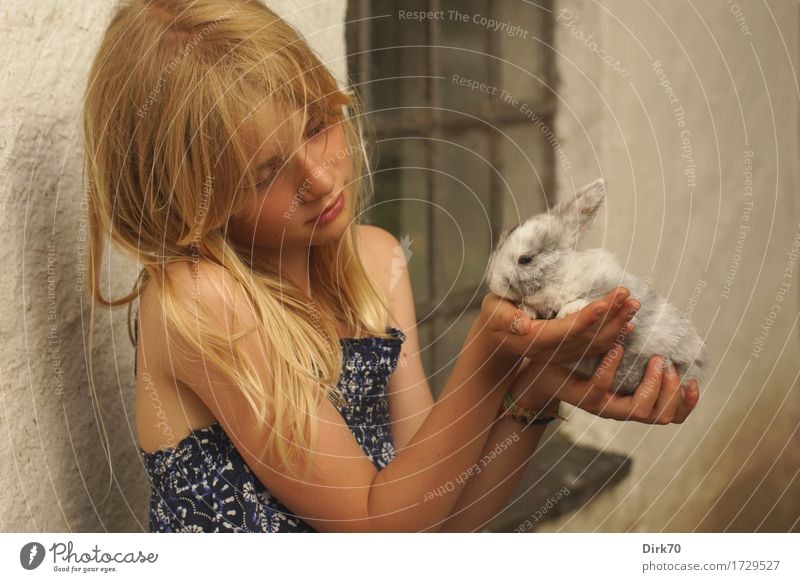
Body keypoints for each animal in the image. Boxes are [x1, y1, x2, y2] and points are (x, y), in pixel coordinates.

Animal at [484, 179, 708, 396]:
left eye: (525, 259)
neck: (558, 275)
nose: (489, 281)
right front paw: (526, 311)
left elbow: (586, 299)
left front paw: (566, 312)